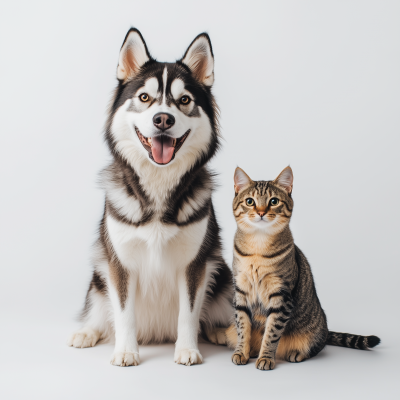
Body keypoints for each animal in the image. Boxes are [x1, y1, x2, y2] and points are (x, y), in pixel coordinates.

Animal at [67, 28, 233, 366]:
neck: (158, 182)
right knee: (98, 311)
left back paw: (222, 331)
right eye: (144, 98)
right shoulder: (119, 264)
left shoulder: (195, 263)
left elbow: (189, 313)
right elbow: (123, 313)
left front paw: (187, 349)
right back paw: (87, 332)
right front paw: (126, 351)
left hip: (221, 271)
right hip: (98, 275)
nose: (163, 119)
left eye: (184, 100)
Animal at [227, 167, 380, 370]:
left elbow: (271, 334)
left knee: (316, 346)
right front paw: (241, 352)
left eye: (273, 201)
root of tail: (326, 330)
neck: (258, 247)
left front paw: (266, 357)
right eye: (250, 201)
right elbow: (243, 328)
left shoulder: (281, 296)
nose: (260, 212)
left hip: (314, 333)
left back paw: (296, 353)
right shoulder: (241, 292)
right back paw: (252, 350)